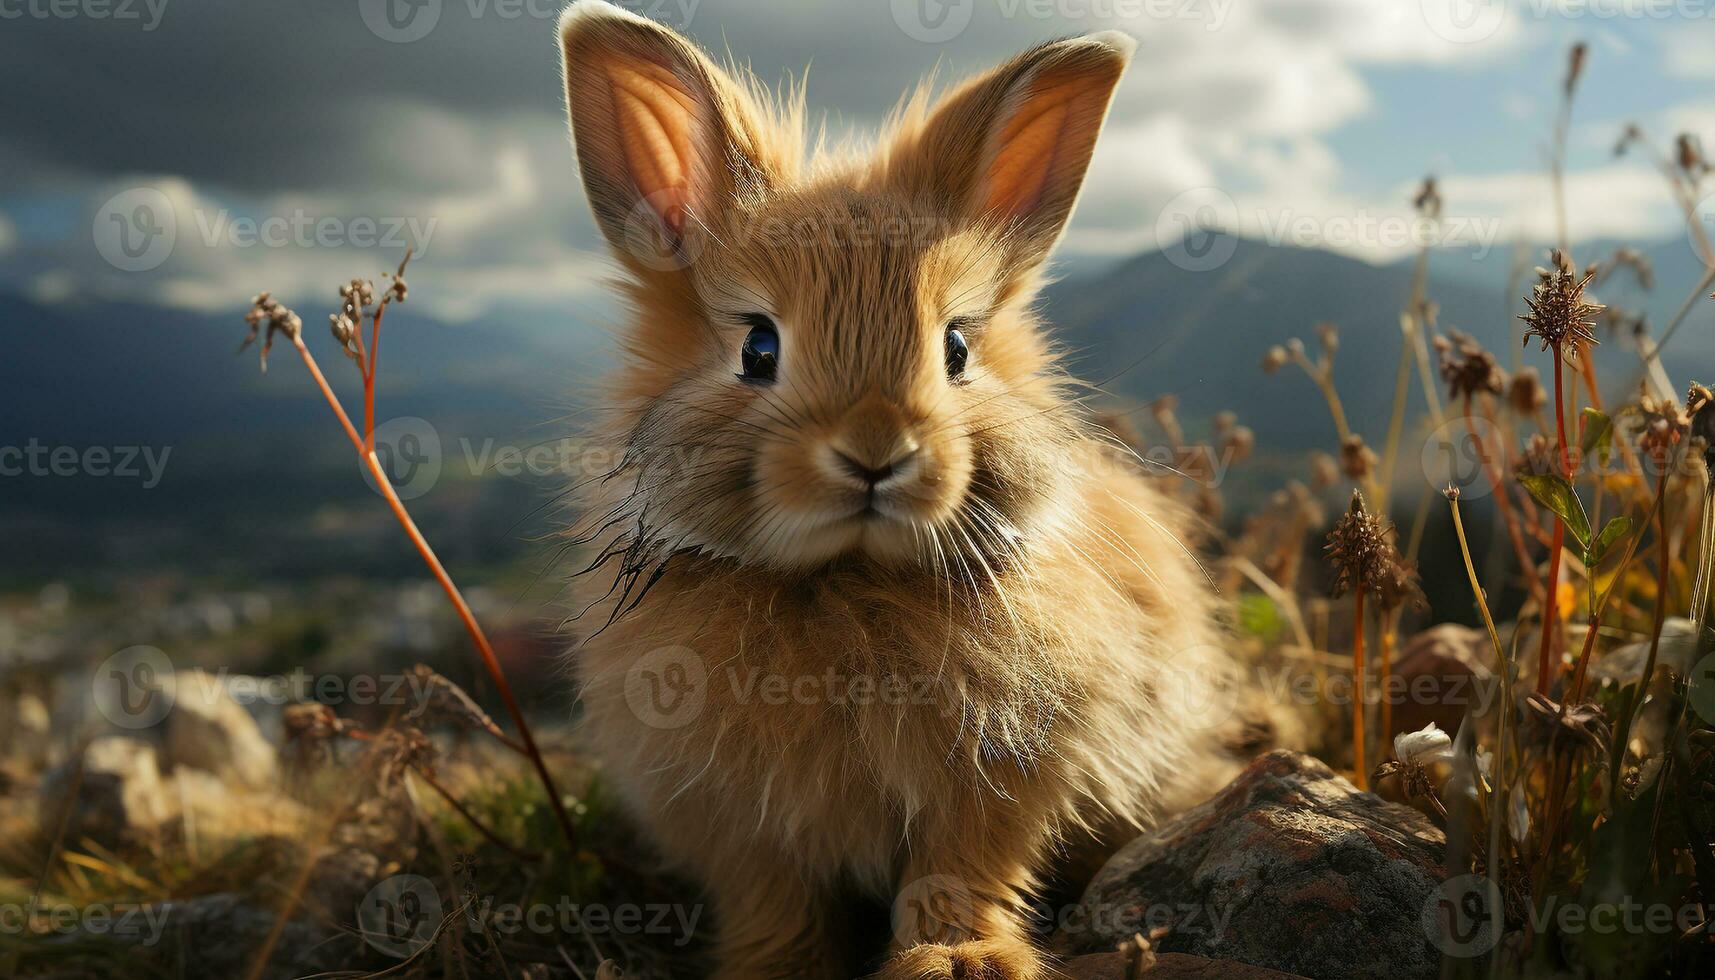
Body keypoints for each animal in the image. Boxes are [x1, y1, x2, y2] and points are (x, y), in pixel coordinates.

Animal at [552, 3, 1275, 974]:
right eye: (757, 348)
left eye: (956, 348)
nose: (874, 453)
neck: (845, 578)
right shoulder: (735, 826)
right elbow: (775, 902)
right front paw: (774, 968)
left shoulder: (999, 784)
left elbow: (960, 872)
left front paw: (960, 962)